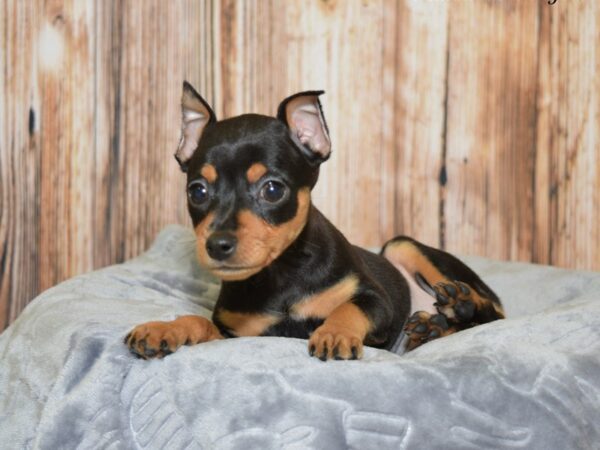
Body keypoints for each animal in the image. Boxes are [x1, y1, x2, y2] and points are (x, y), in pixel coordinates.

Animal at [124, 81, 504, 362]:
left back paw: (459, 304)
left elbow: (348, 308)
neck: (281, 274)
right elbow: (199, 320)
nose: (217, 245)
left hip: (403, 246)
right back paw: (433, 327)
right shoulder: (236, 334)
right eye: (197, 191)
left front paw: (334, 333)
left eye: (273, 189)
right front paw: (163, 330)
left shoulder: (375, 299)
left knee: (495, 312)